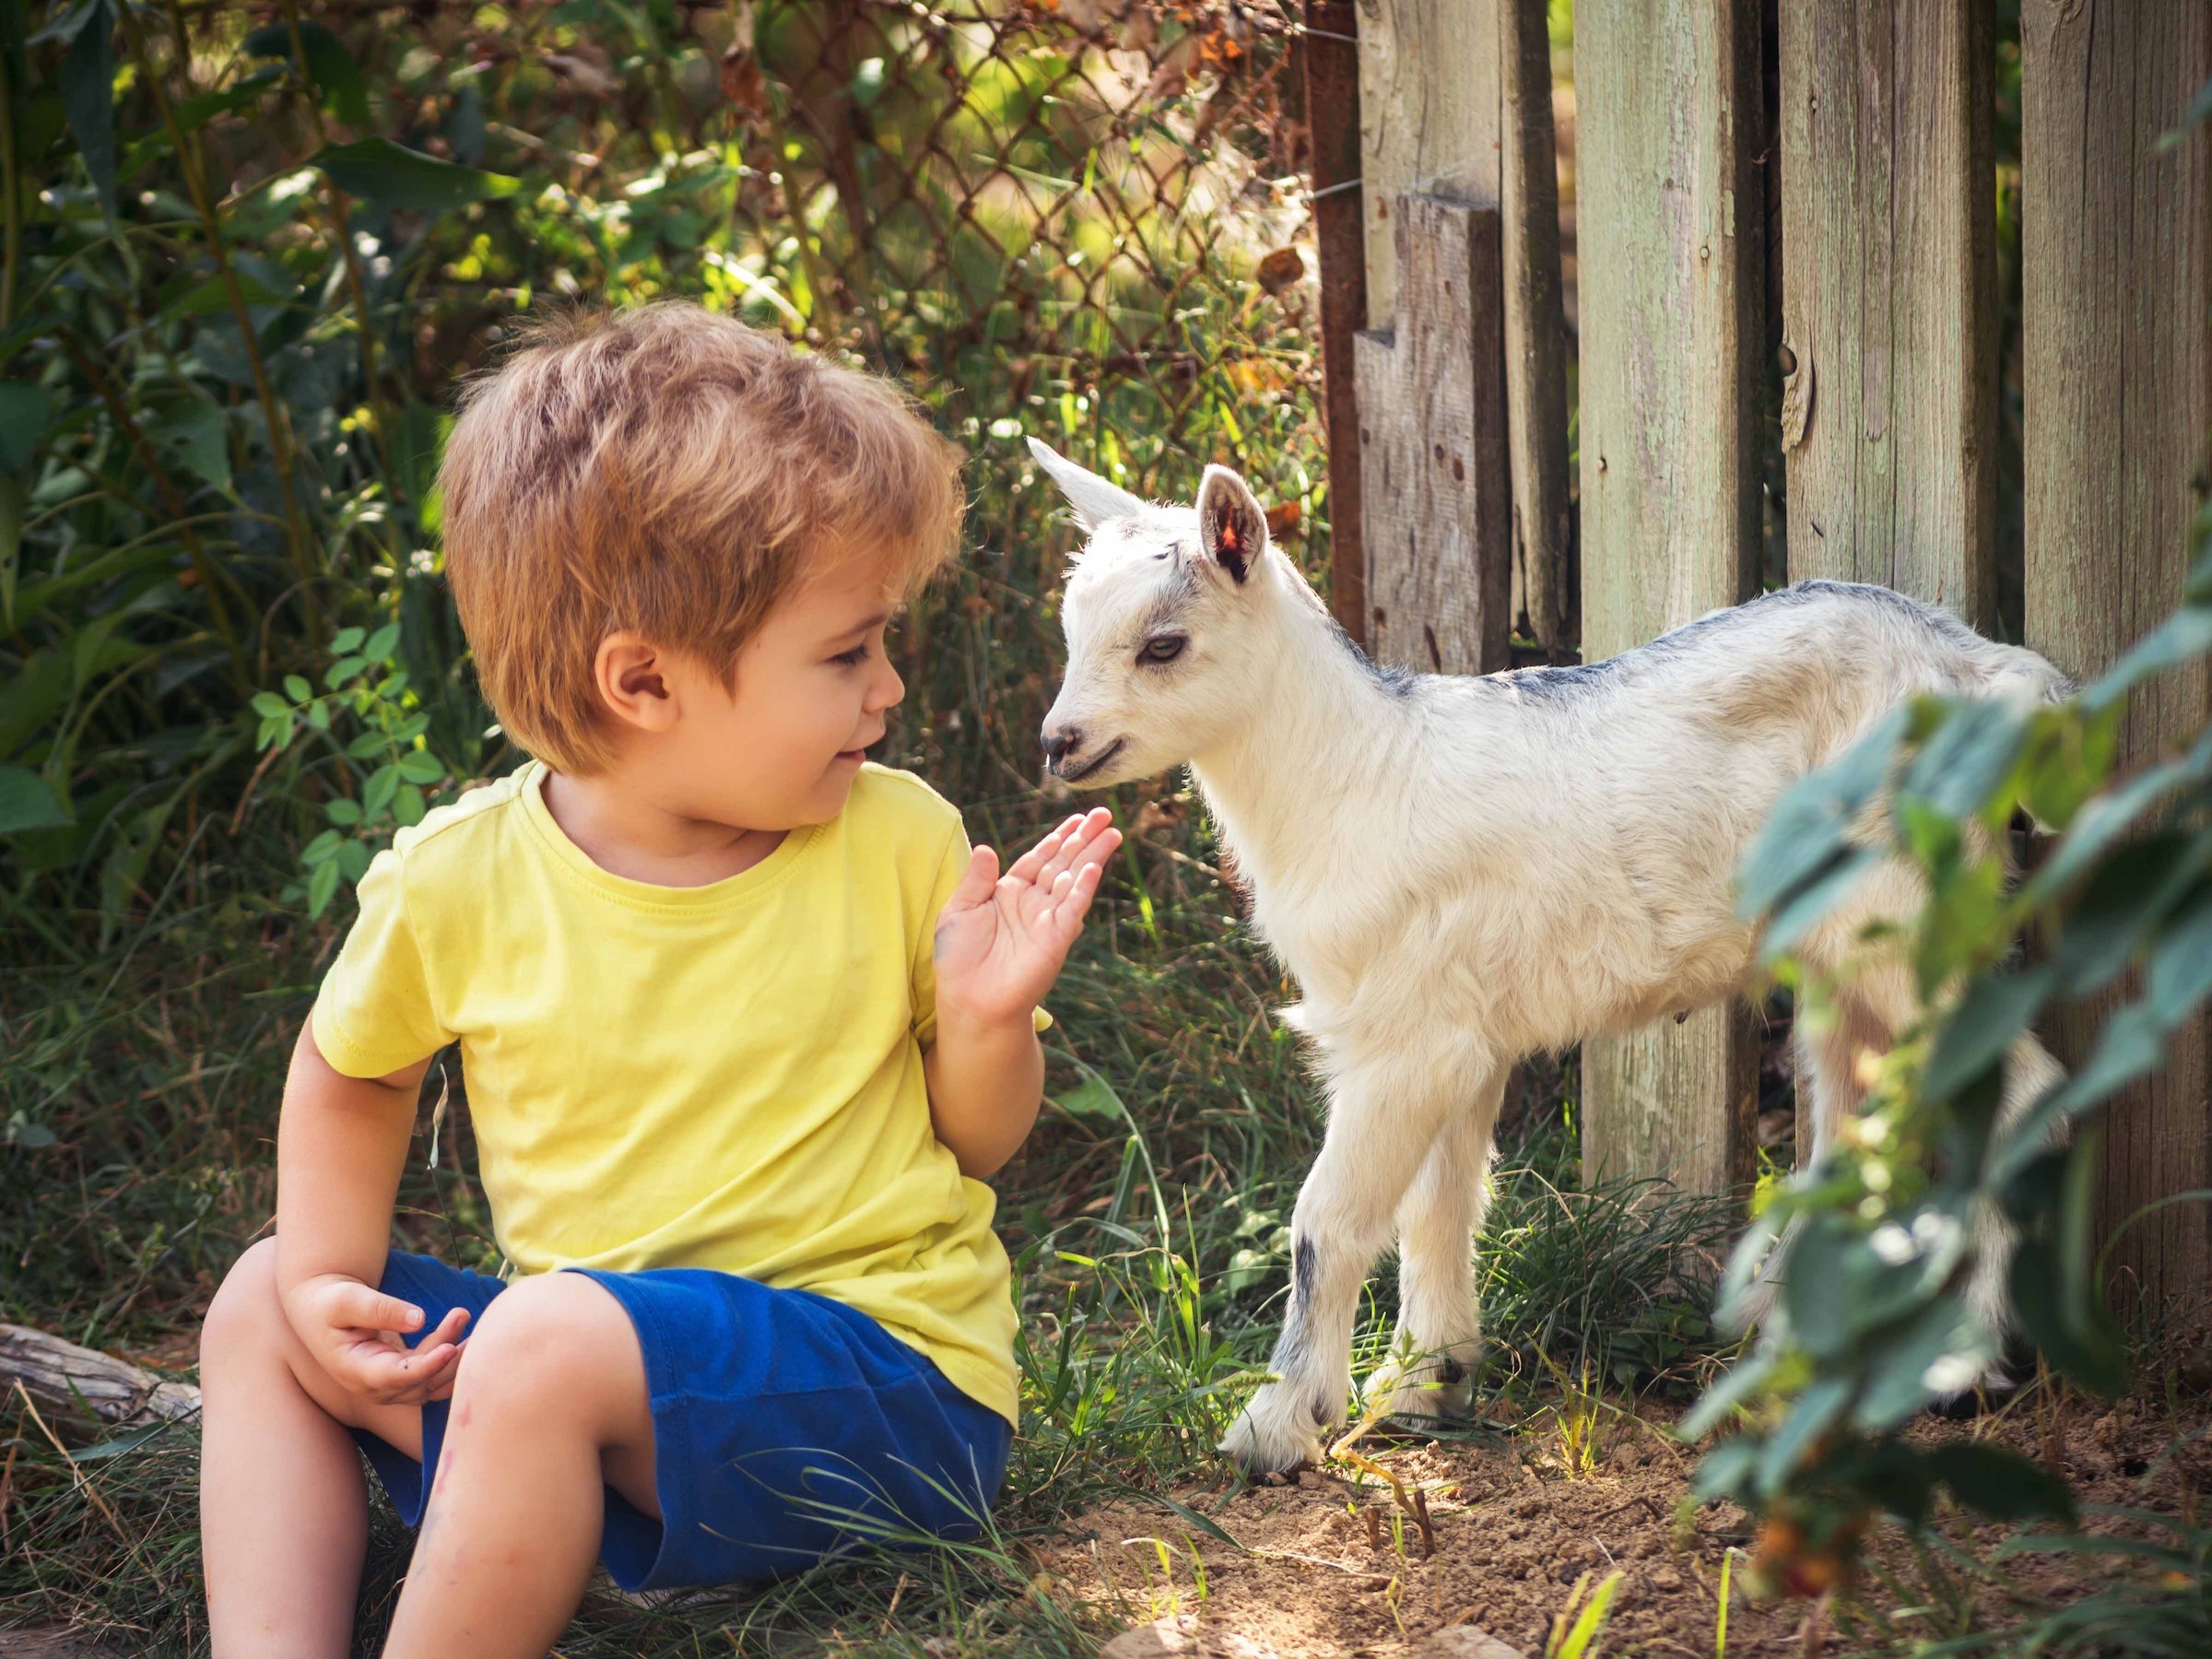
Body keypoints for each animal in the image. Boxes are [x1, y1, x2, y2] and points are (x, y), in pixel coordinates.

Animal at [1026, 435, 2061, 1477]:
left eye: (1164, 645)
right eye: (1072, 629)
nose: (1059, 744)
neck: (1357, 776)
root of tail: (1976, 663)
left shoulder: (1400, 1038)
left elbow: (1330, 1217)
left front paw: (1274, 1424)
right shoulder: (1456, 1035)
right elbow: (1439, 1205)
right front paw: (1425, 1385)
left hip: (1910, 918)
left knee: (2020, 1090)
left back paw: (1969, 1363)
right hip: (1844, 951)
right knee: (1857, 1114)